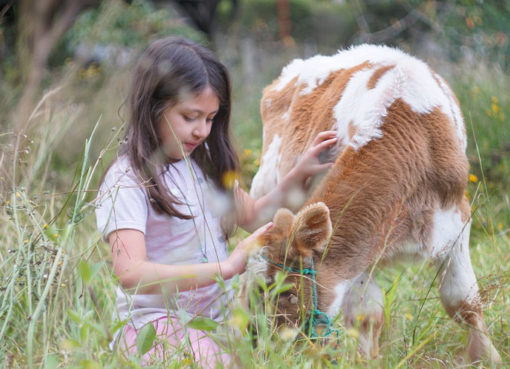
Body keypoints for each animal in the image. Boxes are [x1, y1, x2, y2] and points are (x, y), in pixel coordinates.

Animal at [249, 43, 500, 362]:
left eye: (290, 294)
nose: (280, 350)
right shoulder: (363, 245)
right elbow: (365, 315)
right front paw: (364, 360)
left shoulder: (456, 221)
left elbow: (463, 301)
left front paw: (488, 357)